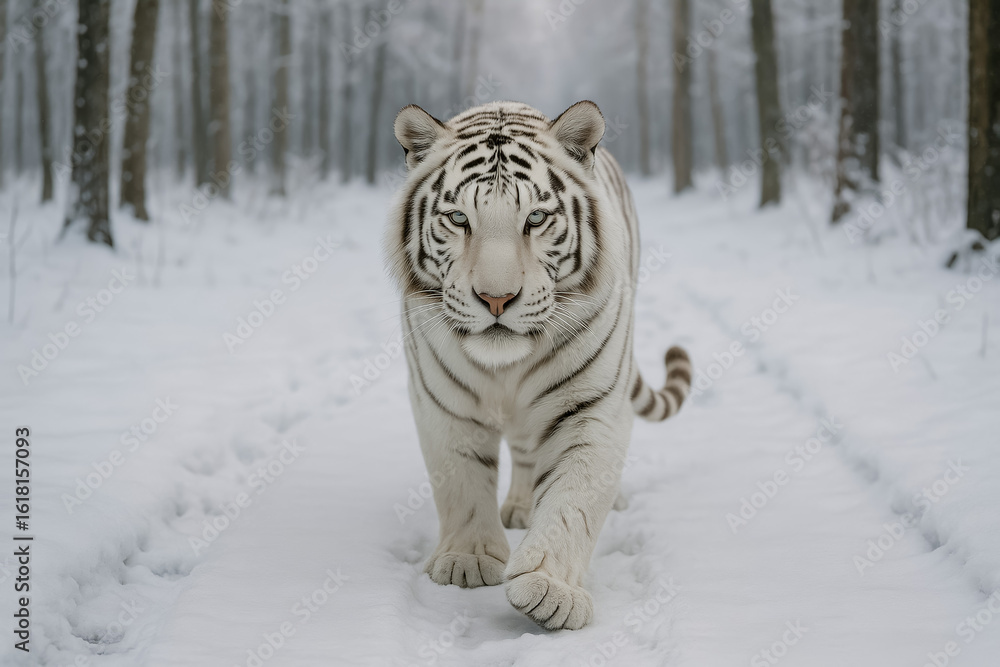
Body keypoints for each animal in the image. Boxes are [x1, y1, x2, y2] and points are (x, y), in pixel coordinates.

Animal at [385, 100, 691, 630]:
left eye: (536, 217)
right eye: (459, 218)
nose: (496, 298)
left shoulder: (590, 407)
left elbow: (574, 498)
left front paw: (549, 588)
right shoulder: (442, 403)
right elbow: (461, 481)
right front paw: (467, 561)